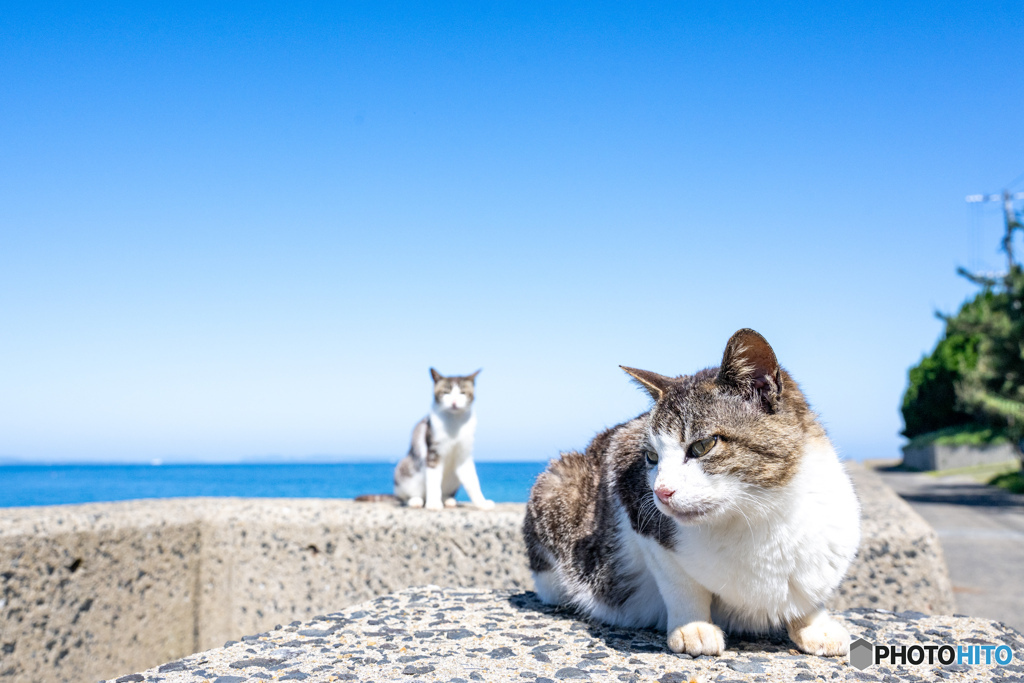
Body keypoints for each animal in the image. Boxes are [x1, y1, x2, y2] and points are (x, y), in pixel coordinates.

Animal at [391, 370, 491, 509]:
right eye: (446, 392)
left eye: (462, 393)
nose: (454, 402)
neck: (454, 423)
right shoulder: (433, 453)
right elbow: (434, 481)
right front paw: (433, 503)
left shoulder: (464, 455)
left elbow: (473, 482)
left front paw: (482, 503)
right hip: (404, 468)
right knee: (405, 497)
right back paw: (415, 500)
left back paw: (448, 500)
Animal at [524, 329, 860, 655]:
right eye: (652, 457)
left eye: (702, 446)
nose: (661, 491)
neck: (762, 515)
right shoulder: (637, 511)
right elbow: (681, 584)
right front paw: (693, 627)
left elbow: (810, 593)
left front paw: (815, 625)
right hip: (555, 487)